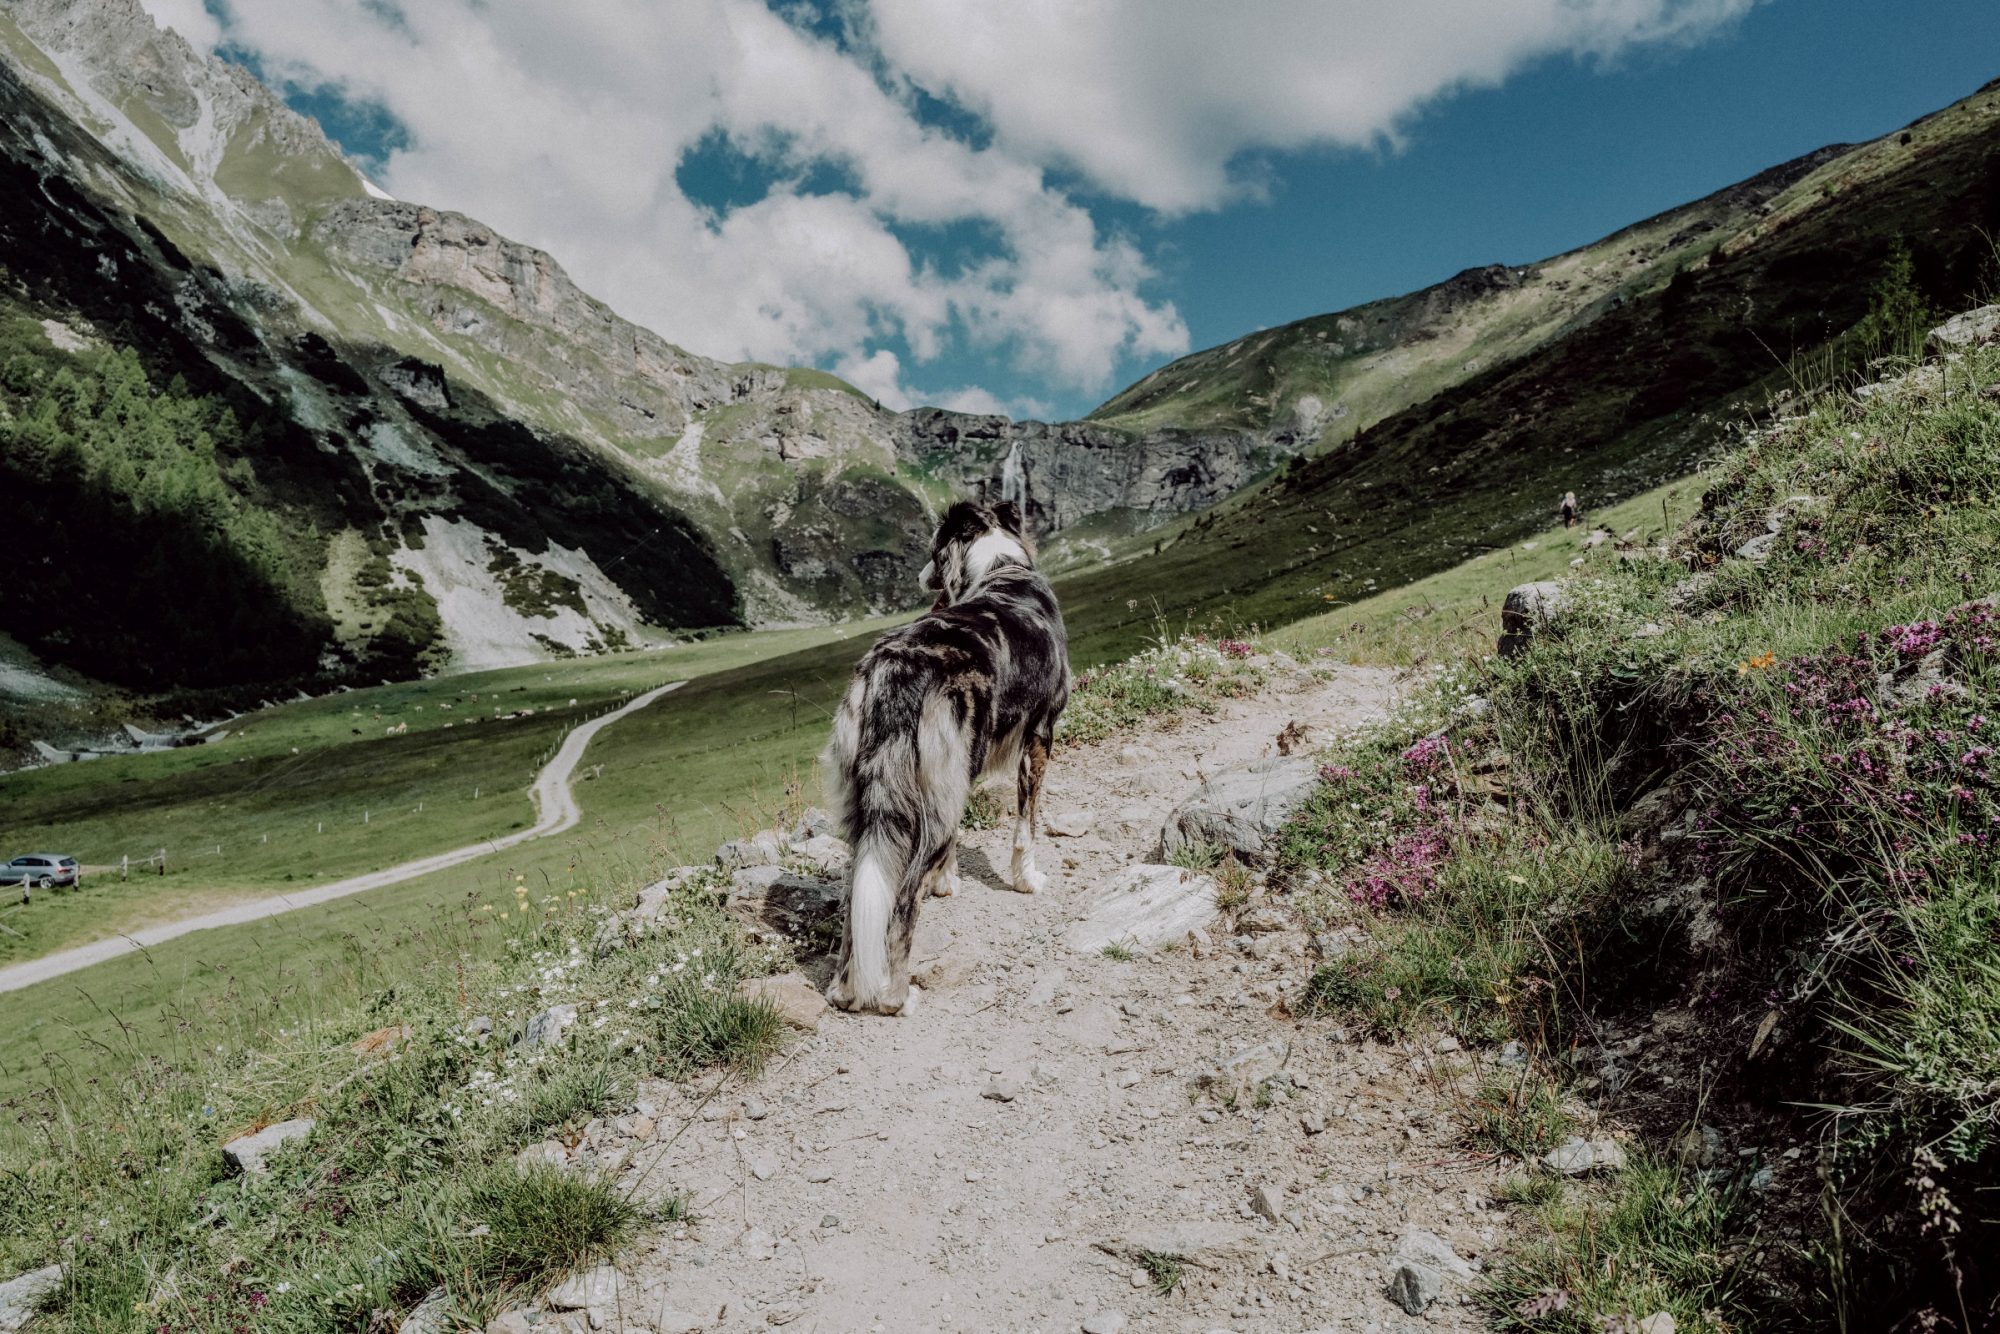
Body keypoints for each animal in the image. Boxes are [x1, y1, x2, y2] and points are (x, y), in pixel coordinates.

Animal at [820, 498, 1072, 1012]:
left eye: (933, 552)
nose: (918, 578)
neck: (1001, 567)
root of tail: (894, 672)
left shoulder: (957, 774)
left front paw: (948, 880)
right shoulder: (1039, 738)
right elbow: (1027, 828)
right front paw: (1027, 881)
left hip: (870, 806)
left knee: (859, 895)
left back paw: (845, 991)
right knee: (902, 900)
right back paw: (896, 996)